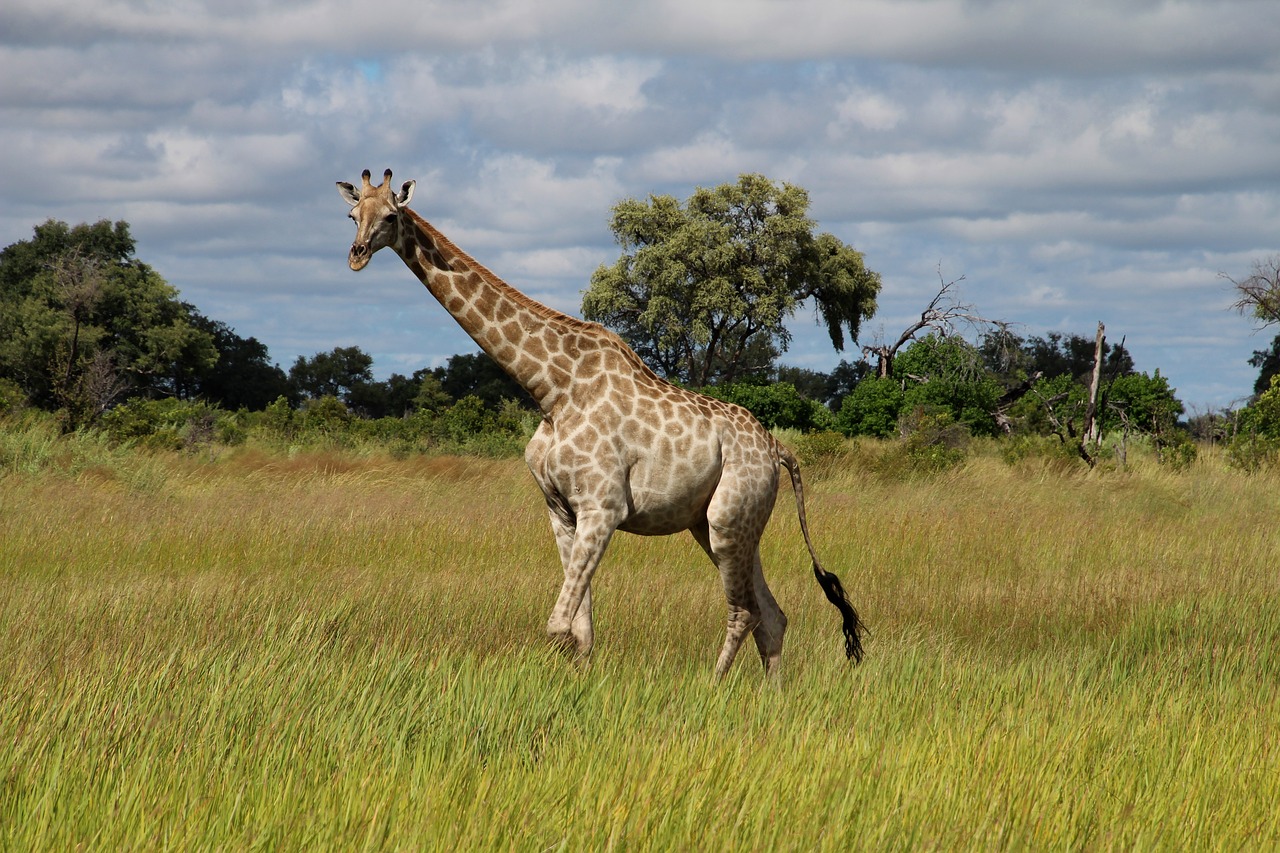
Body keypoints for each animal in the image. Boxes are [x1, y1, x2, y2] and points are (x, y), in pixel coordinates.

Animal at [335, 169, 865, 676]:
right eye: (353, 215)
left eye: (390, 216)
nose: (356, 255)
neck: (552, 390)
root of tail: (778, 449)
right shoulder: (561, 511)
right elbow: (580, 631)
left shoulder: (603, 508)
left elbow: (557, 627)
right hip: (725, 525)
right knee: (772, 617)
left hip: (726, 521)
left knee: (745, 612)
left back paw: (714, 686)